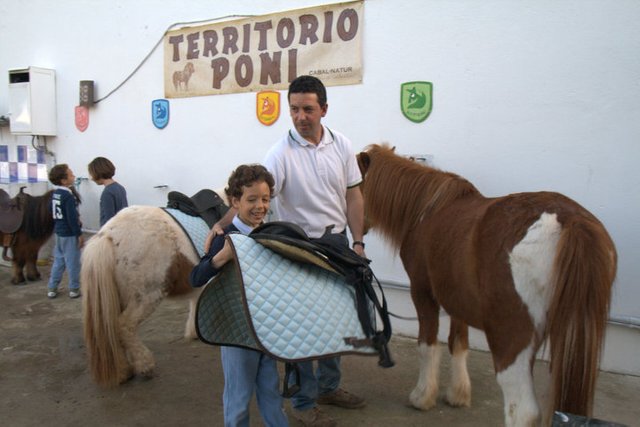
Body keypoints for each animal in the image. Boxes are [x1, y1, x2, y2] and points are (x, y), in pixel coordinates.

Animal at [358, 145, 616, 426]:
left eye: (356, 184)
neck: (425, 211)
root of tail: (569, 220)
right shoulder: (456, 299)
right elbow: (458, 344)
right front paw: (458, 394)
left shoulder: (423, 293)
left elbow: (427, 345)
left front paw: (422, 397)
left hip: (511, 340)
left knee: (522, 409)